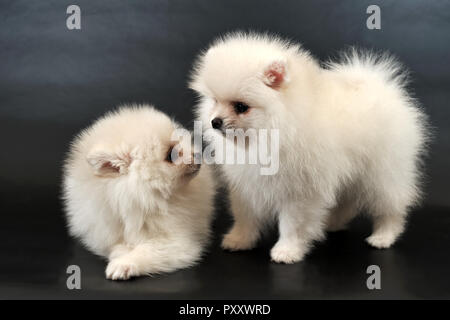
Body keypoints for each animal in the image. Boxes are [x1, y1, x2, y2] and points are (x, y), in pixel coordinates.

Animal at [62, 105, 215, 280]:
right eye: (171, 155)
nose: (198, 155)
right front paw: (121, 252)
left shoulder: (178, 241)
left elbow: (147, 250)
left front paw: (123, 263)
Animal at [191, 32, 428, 264]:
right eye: (215, 101)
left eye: (241, 107)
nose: (215, 121)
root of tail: (380, 87)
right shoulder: (247, 185)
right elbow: (245, 215)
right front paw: (239, 239)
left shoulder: (299, 190)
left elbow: (292, 224)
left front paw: (287, 251)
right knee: (346, 200)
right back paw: (332, 223)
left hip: (382, 172)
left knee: (391, 205)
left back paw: (383, 236)